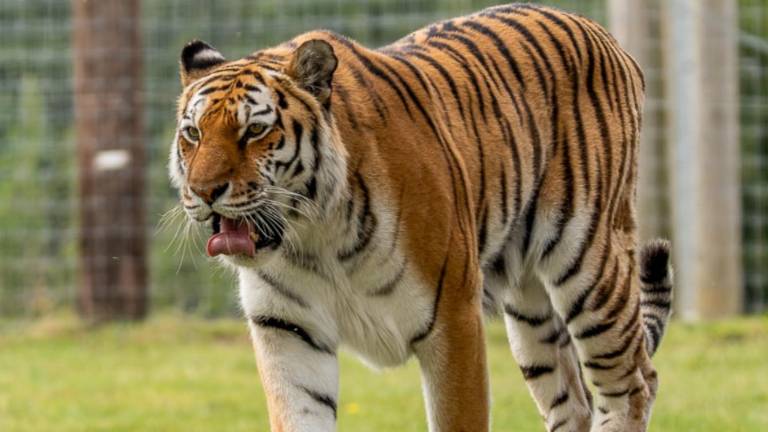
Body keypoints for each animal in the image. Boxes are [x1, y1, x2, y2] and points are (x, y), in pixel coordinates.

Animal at [168, 3, 673, 431]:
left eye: (254, 130)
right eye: (192, 134)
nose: (204, 191)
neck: (314, 237)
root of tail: (600, 32)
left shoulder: (453, 319)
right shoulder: (289, 331)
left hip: (590, 263)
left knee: (633, 383)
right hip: (530, 311)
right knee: (574, 401)